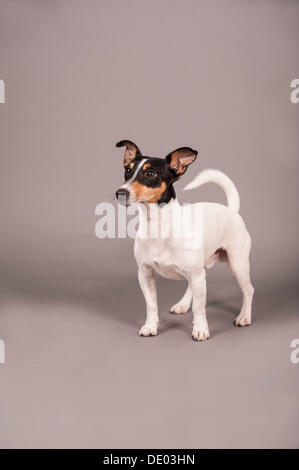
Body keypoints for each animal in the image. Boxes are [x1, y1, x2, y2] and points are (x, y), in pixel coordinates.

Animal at [116, 138, 254, 340]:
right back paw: (183, 304)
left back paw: (244, 316)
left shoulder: (196, 274)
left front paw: (201, 329)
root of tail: (231, 210)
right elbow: (151, 305)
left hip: (237, 264)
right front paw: (150, 326)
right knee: (192, 287)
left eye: (150, 173)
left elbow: (199, 307)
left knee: (248, 290)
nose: (120, 193)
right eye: (127, 170)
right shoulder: (145, 273)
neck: (158, 227)